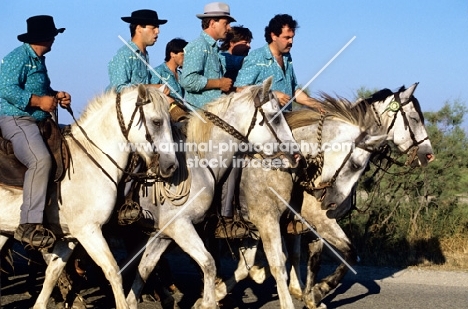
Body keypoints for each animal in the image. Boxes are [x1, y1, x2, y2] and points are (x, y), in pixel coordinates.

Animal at [0, 85, 177, 308]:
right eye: (156, 122)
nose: (171, 166)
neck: (92, 159)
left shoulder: (70, 237)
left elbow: (53, 272)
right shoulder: (89, 231)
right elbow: (113, 270)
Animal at [124, 77, 300, 308]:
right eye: (275, 118)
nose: (296, 155)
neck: (198, 160)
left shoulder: (164, 232)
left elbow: (145, 267)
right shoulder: (182, 227)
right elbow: (210, 263)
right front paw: (208, 301)